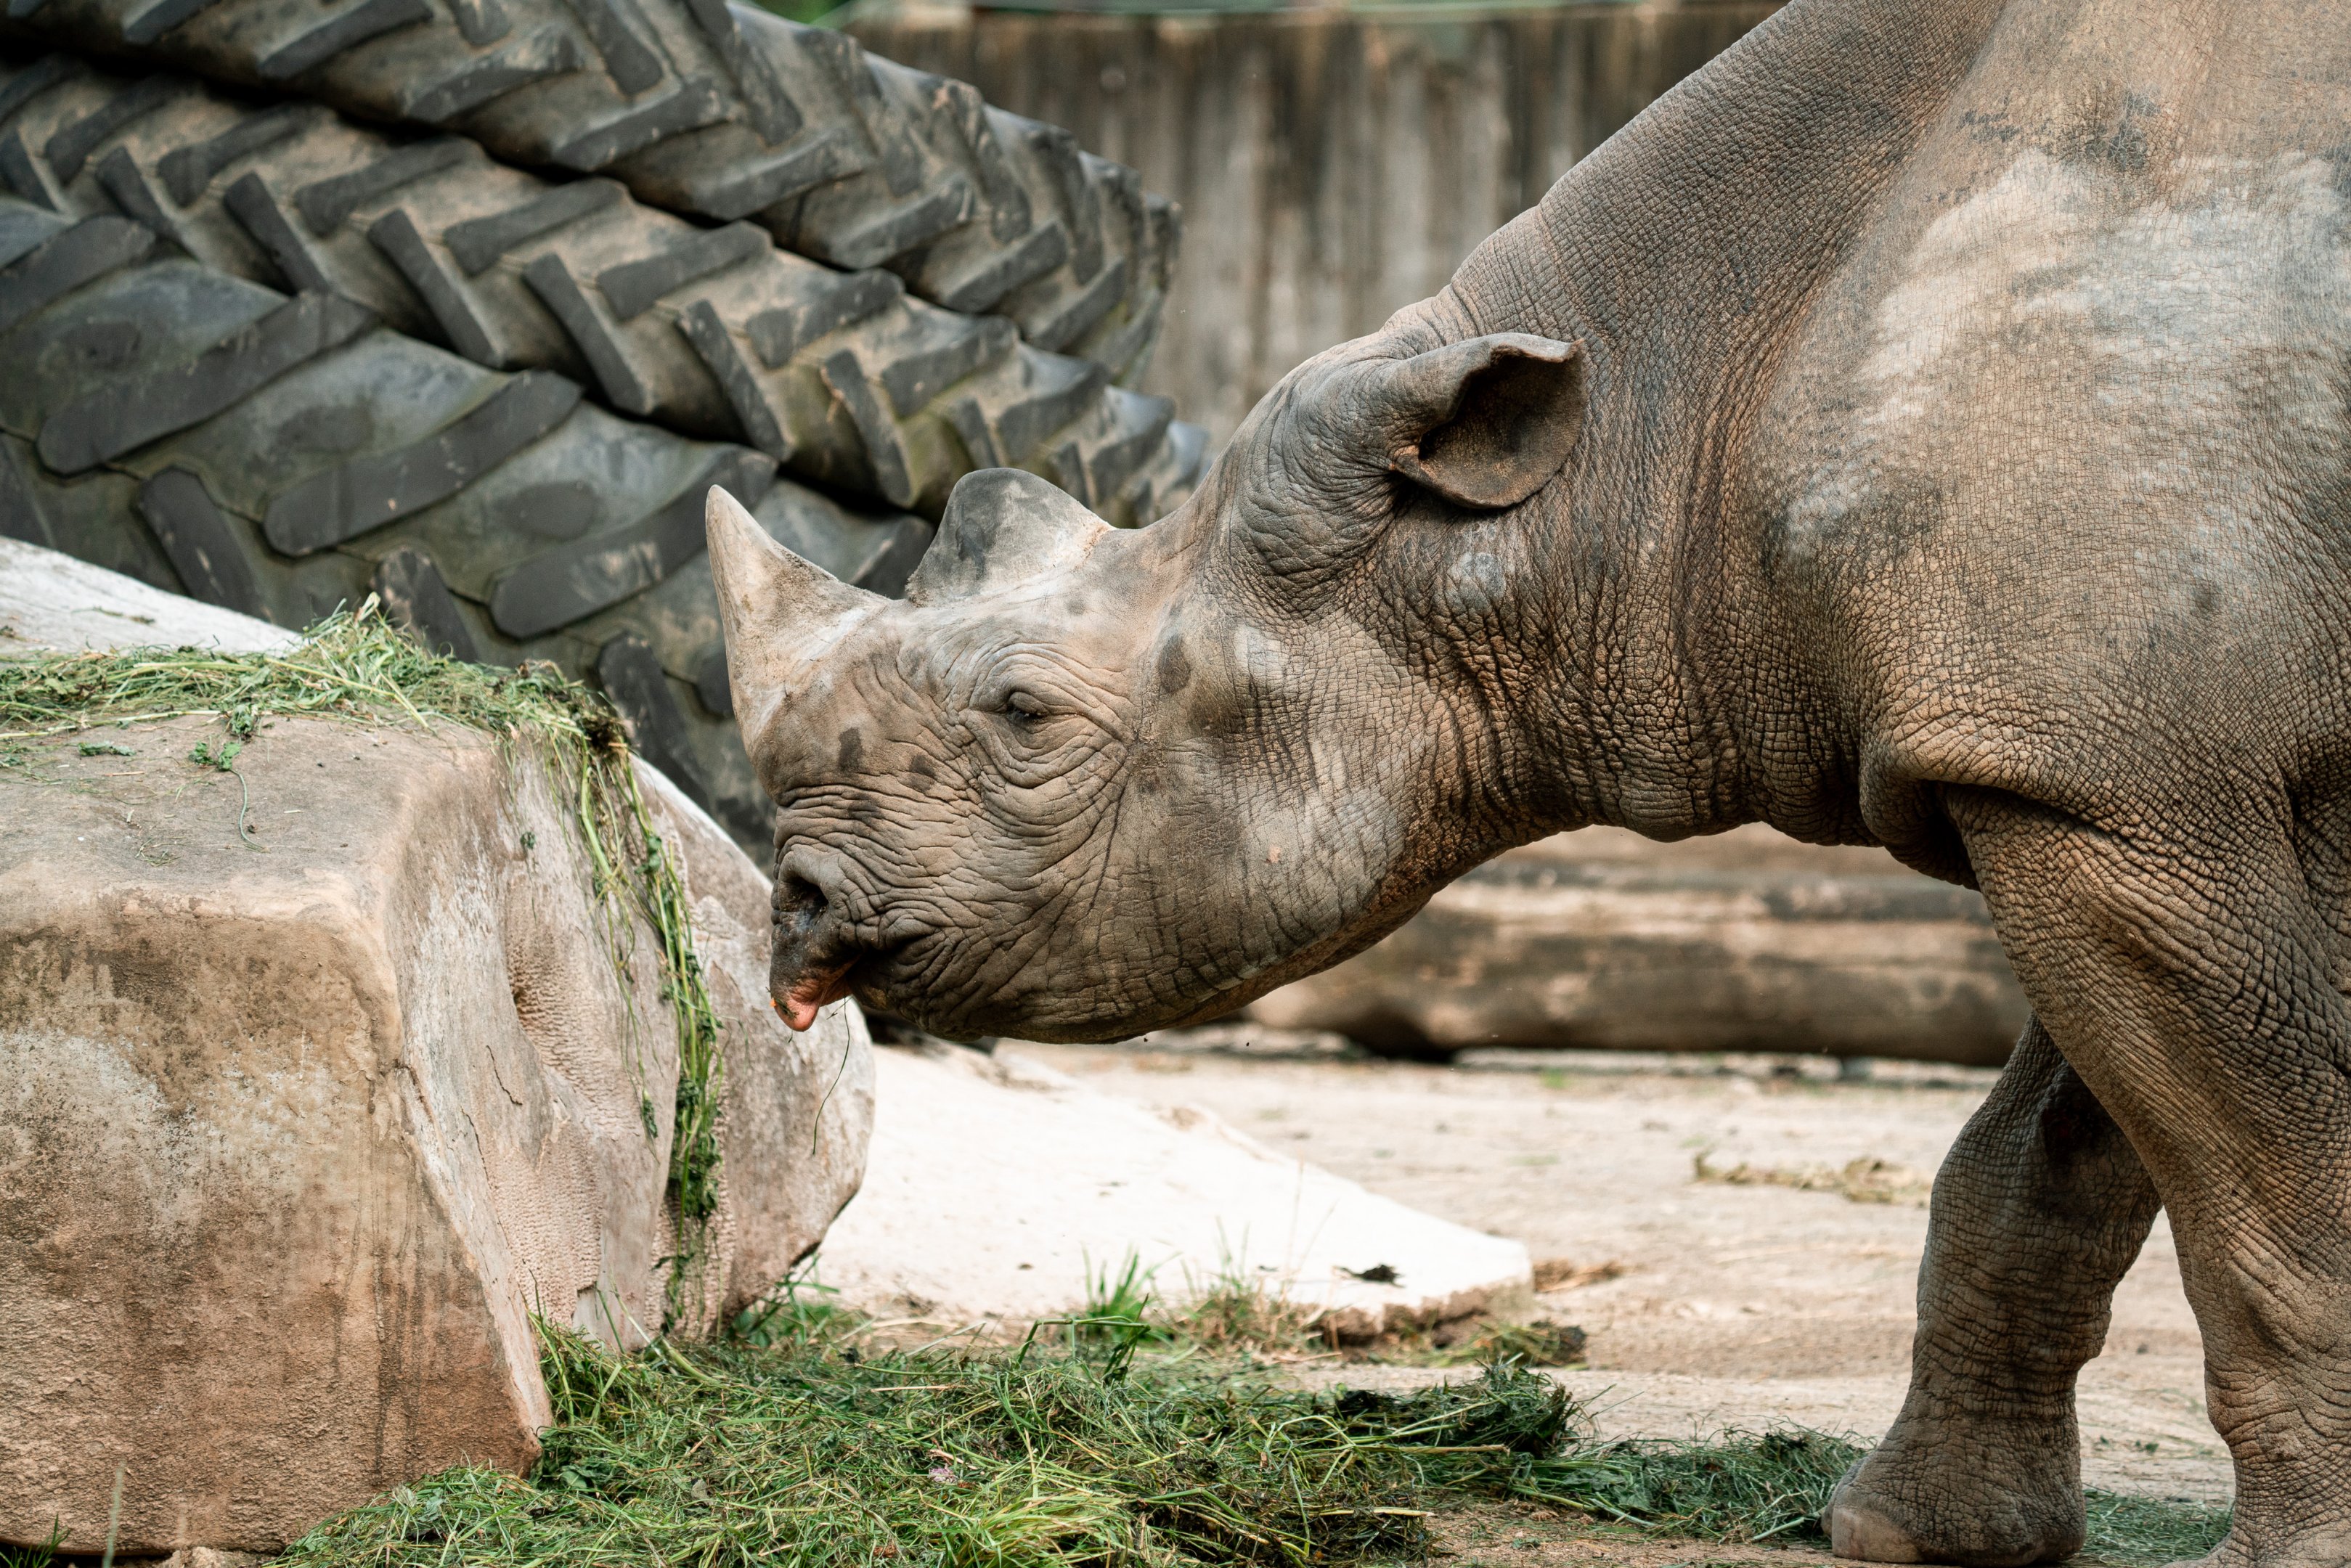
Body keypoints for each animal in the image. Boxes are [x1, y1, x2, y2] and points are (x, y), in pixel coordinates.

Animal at [702, 0, 2351, 1560]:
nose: (797, 910)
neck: (1642, 432)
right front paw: (1907, 1535)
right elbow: (2043, 1165)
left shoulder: (2098, 773)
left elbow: (2259, 1188)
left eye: (1024, 715)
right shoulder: (2076, 758)